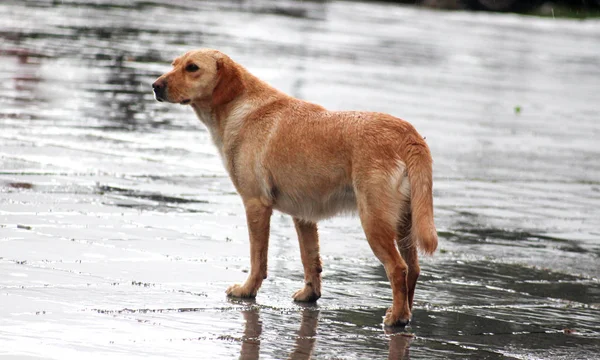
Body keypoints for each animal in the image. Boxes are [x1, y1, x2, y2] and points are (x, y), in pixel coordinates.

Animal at [152, 49, 438, 328]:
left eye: (192, 68)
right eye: (174, 64)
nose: (155, 86)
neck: (239, 106)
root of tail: (408, 135)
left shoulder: (256, 204)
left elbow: (258, 258)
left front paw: (247, 290)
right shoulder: (304, 216)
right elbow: (310, 260)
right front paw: (310, 295)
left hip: (374, 222)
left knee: (398, 268)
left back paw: (396, 318)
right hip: (405, 224)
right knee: (413, 269)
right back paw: (405, 314)